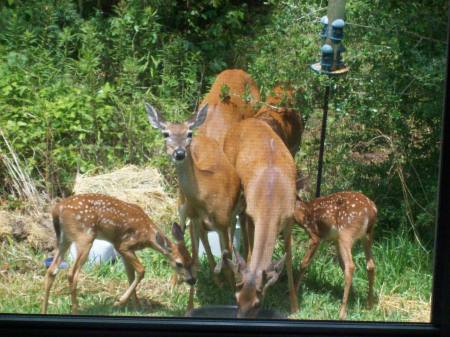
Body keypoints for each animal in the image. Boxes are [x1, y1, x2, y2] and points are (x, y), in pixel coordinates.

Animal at [42, 193, 195, 314]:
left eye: (191, 261)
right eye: (179, 263)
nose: (192, 280)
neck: (148, 235)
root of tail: (57, 209)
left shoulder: (125, 251)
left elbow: (130, 276)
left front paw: (136, 307)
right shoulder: (123, 245)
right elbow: (141, 270)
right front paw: (120, 302)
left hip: (64, 239)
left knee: (51, 270)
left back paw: (44, 310)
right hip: (84, 237)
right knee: (71, 274)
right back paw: (75, 311)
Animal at [146, 101, 241, 308]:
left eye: (189, 133)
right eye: (165, 133)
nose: (179, 153)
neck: (207, 193)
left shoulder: (224, 221)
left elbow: (227, 256)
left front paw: (233, 291)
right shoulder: (195, 218)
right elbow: (194, 255)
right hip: (183, 209)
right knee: (183, 242)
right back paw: (176, 283)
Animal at [222, 118, 298, 318]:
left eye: (257, 304)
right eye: (236, 300)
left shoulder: (289, 218)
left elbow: (288, 258)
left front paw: (294, 305)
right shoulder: (252, 214)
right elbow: (249, 252)